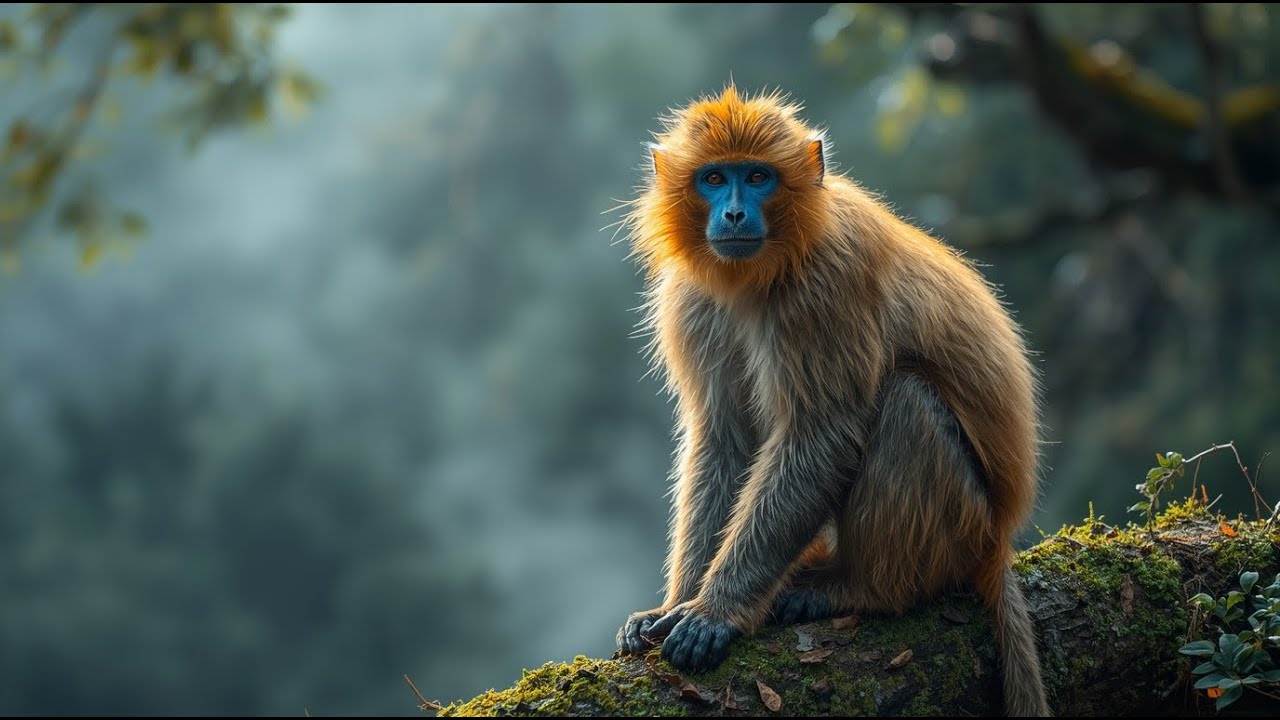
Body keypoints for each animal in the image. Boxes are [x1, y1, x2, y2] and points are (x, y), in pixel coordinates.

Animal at [613, 86, 1050, 717]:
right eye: (715, 179)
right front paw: (675, 605)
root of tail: (999, 543)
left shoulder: (827, 282)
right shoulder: (694, 300)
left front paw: (716, 612)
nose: (735, 213)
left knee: (903, 401)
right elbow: (725, 440)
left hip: (962, 529)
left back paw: (862, 589)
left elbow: (821, 434)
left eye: (758, 177)